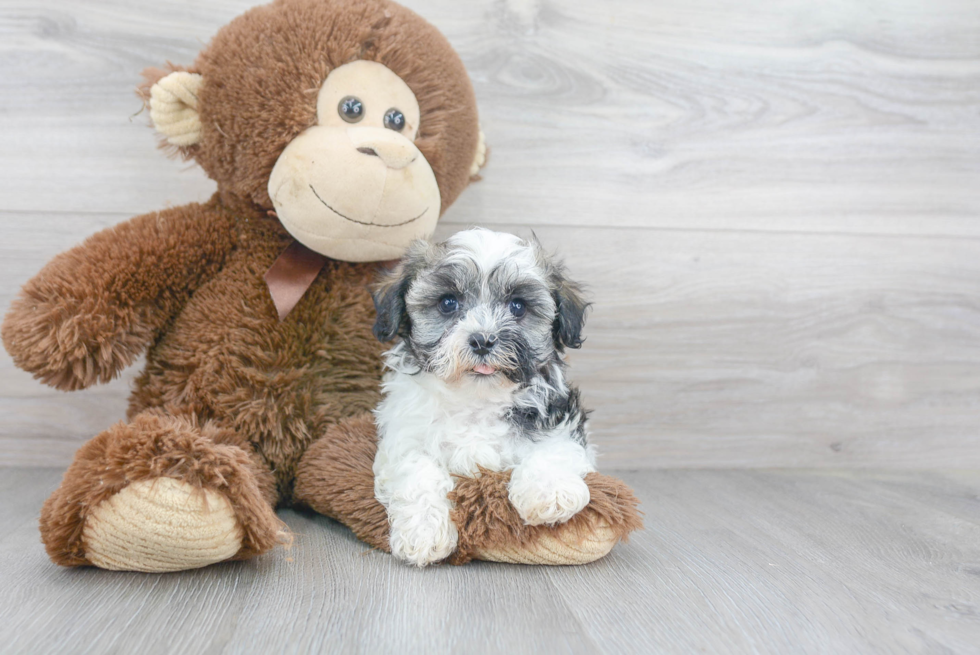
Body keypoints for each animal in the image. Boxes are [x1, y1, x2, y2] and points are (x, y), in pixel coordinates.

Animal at [370, 228, 592, 568]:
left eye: (517, 306)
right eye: (448, 303)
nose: (483, 340)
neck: (476, 399)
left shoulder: (560, 416)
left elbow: (553, 447)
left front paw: (550, 492)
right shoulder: (403, 437)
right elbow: (418, 471)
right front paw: (423, 532)